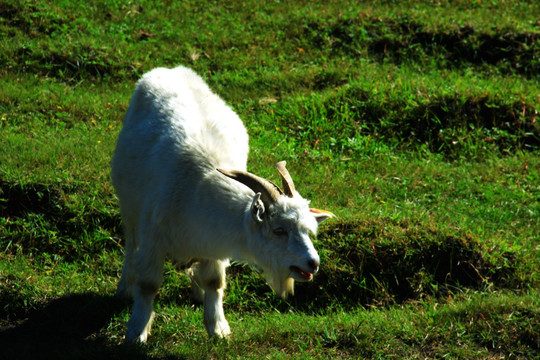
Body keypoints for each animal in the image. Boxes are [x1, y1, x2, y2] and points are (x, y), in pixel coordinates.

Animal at [111, 65, 334, 344]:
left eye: (307, 230)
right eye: (279, 230)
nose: (312, 263)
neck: (197, 190)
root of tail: (169, 69)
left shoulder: (213, 244)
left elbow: (214, 282)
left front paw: (218, 328)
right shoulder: (154, 238)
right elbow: (148, 284)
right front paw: (137, 332)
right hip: (129, 205)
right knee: (131, 243)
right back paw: (125, 287)